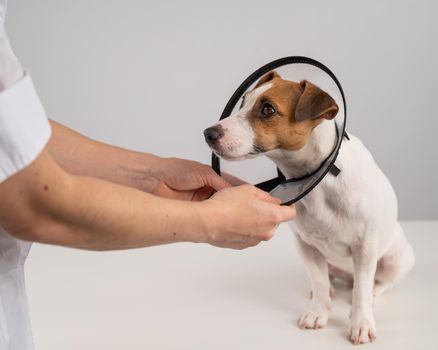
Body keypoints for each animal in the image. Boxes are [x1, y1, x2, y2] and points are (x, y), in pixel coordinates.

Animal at [202, 71, 414, 344]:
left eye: (268, 109)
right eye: (242, 103)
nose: (209, 133)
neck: (318, 176)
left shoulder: (365, 246)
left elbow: (361, 292)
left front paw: (361, 323)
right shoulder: (306, 247)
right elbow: (320, 281)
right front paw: (318, 313)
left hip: (397, 259)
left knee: (376, 283)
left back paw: (373, 293)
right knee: (329, 279)